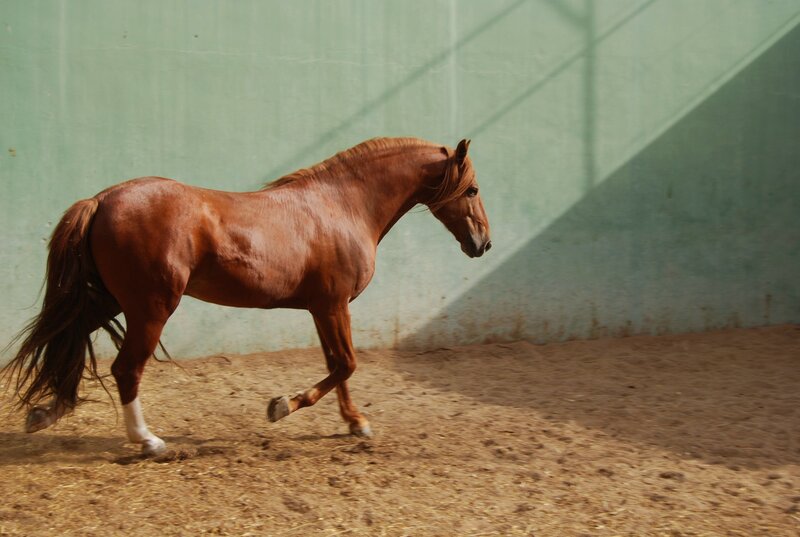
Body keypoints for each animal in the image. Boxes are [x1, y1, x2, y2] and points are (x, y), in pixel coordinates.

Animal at [2, 137, 491, 456]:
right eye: (472, 189)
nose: (482, 243)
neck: (343, 206)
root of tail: (102, 199)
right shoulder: (333, 304)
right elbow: (346, 364)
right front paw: (281, 407)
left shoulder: (322, 308)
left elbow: (339, 365)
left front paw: (355, 423)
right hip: (150, 308)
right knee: (125, 369)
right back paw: (148, 441)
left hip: (111, 301)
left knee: (69, 341)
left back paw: (47, 412)